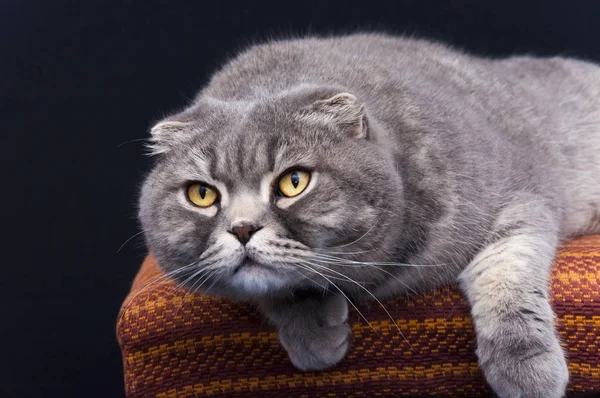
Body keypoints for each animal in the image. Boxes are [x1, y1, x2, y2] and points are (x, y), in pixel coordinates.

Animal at [137, 34, 600, 398]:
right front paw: (312, 334)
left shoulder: (520, 199)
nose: (242, 228)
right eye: (201, 194)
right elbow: (277, 289)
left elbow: (506, 276)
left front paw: (527, 367)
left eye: (293, 182)